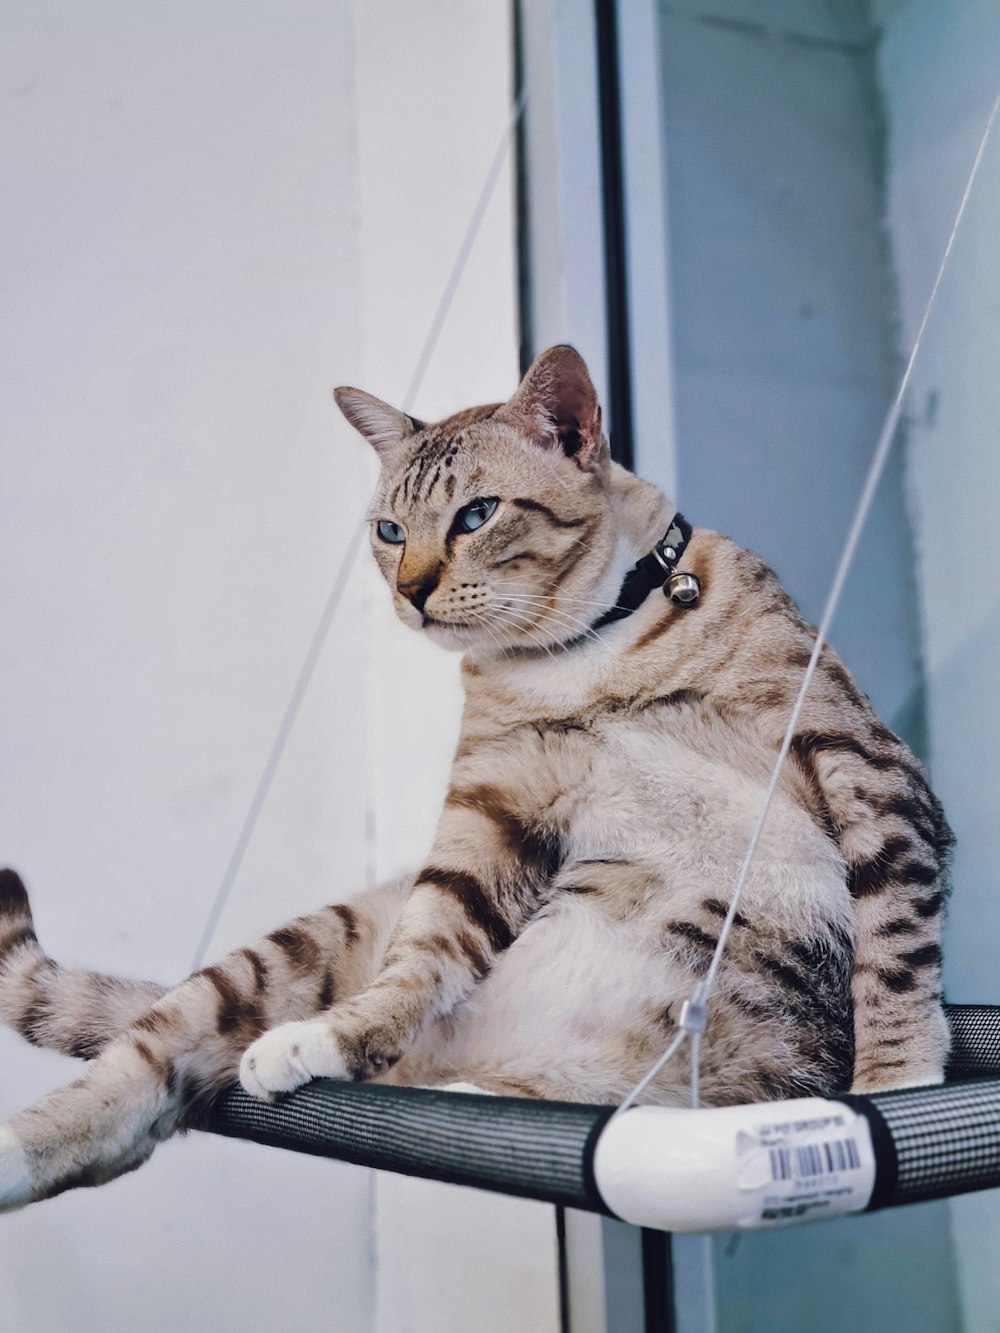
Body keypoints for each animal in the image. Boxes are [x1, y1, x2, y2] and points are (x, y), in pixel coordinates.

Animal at [0, 343, 954, 1210]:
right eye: (389, 531)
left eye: (477, 515)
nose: (412, 592)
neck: (588, 654)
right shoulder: (490, 811)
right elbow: (422, 952)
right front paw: (337, 1034)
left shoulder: (866, 766)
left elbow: (896, 947)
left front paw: (896, 1081)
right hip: (284, 956)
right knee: (138, 1076)